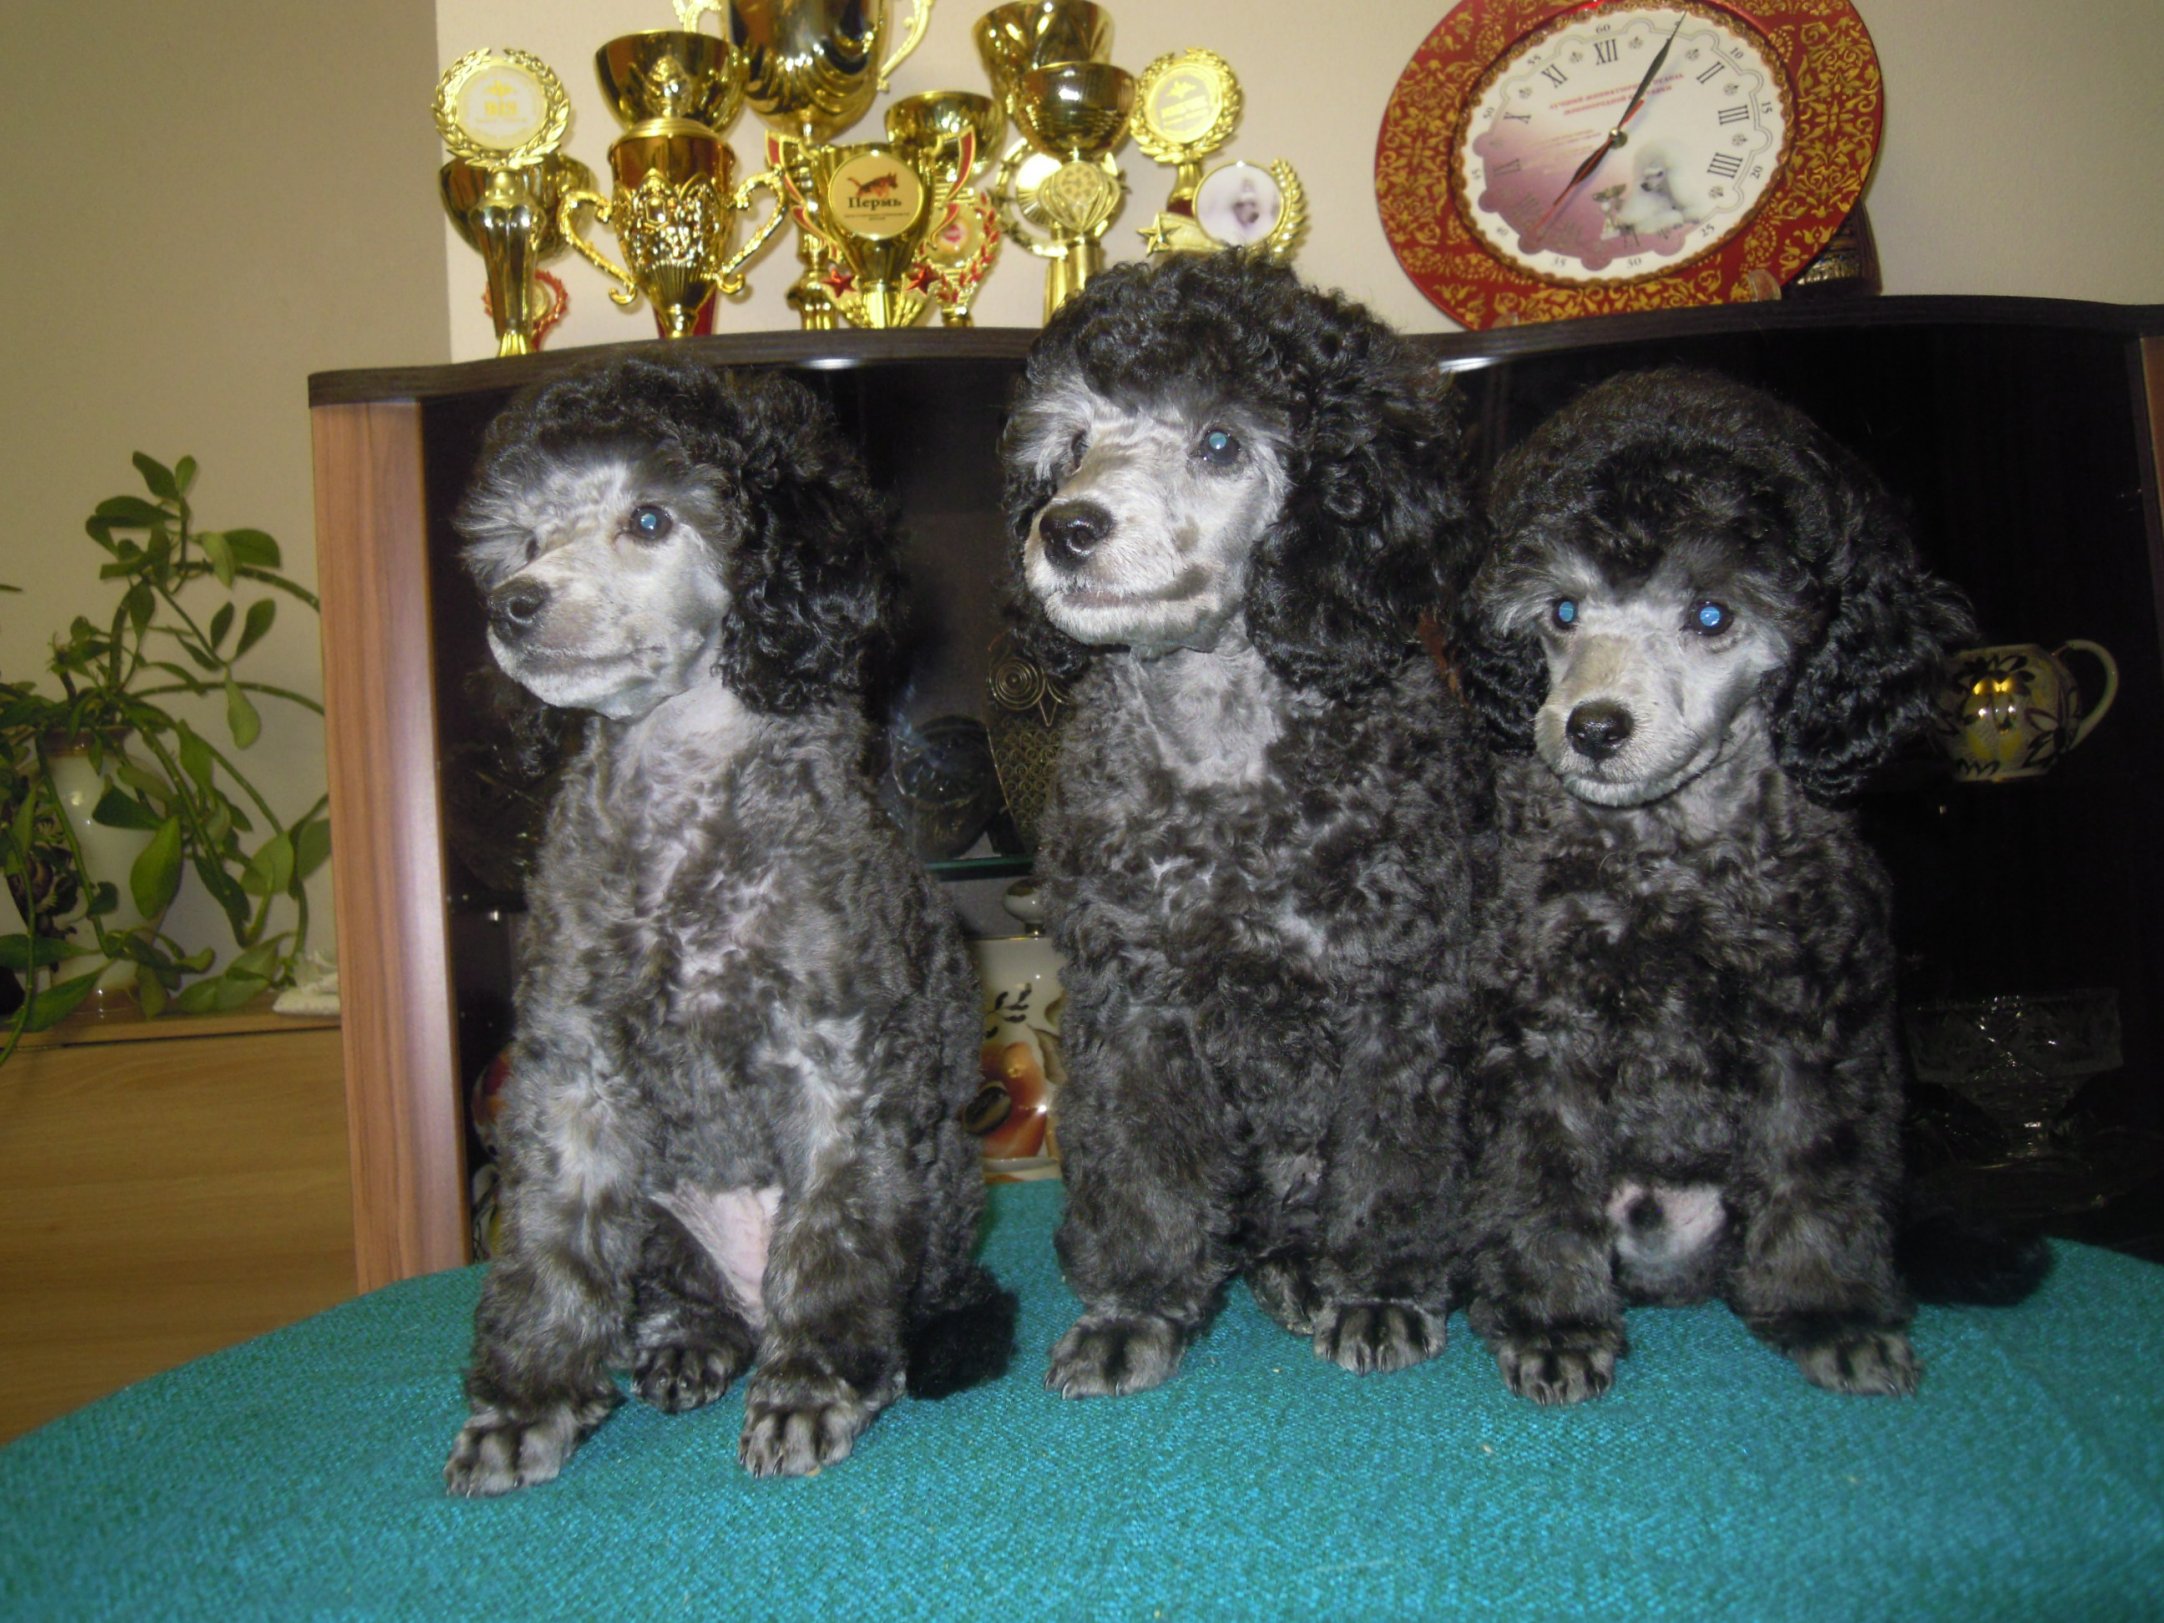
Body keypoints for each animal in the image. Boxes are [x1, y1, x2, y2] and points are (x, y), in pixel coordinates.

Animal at [443, 357, 1009, 1491]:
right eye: (525, 538)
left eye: (650, 519)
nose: (516, 604)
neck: (683, 821)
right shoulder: (570, 1077)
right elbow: (547, 1255)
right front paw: (522, 1409)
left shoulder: (839, 1068)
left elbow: (830, 1249)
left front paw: (809, 1394)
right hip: (662, 1216)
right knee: (681, 1297)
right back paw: (691, 1347)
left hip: (936, 1181)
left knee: (890, 1289)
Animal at [1002, 251, 1489, 1397]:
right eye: (1074, 444)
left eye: (1220, 443)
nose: (1066, 528)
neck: (1224, 758)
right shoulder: (1131, 1002)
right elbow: (1144, 1172)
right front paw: (1136, 1310)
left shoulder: (1400, 994)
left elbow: (1392, 1163)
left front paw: (1381, 1291)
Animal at [1453, 367, 2031, 1404]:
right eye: (1563, 612)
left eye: (1714, 615)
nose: (1592, 727)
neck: (1669, 853)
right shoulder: (1535, 1024)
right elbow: (1538, 1165)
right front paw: (1550, 1321)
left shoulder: (1815, 1022)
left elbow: (1815, 1164)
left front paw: (1830, 1309)